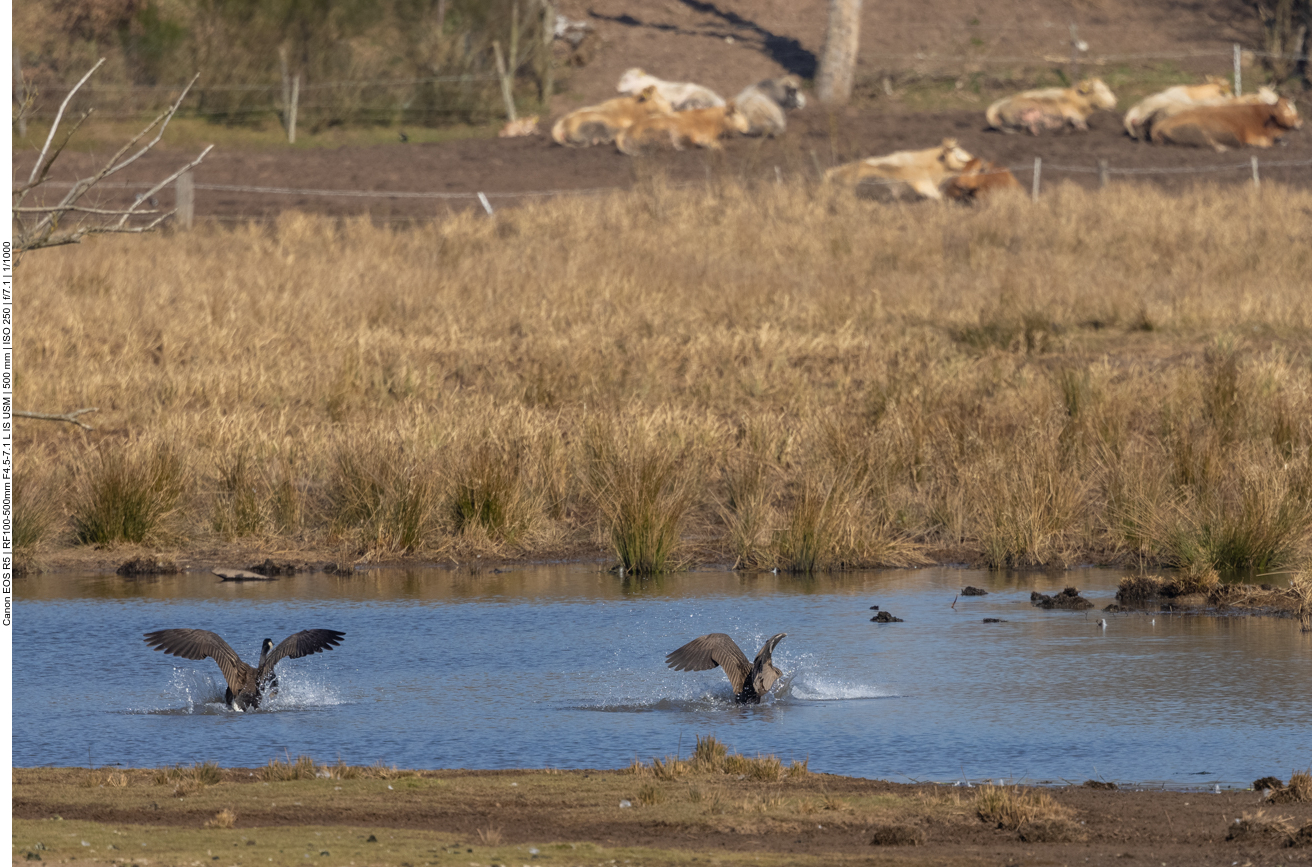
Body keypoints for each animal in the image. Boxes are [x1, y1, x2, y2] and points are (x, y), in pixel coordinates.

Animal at [986, 77, 1117, 134]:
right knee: (1026, 126)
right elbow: (1082, 126)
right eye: (1101, 91)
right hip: (1025, 112)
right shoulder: (1076, 117)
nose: (1115, 101)